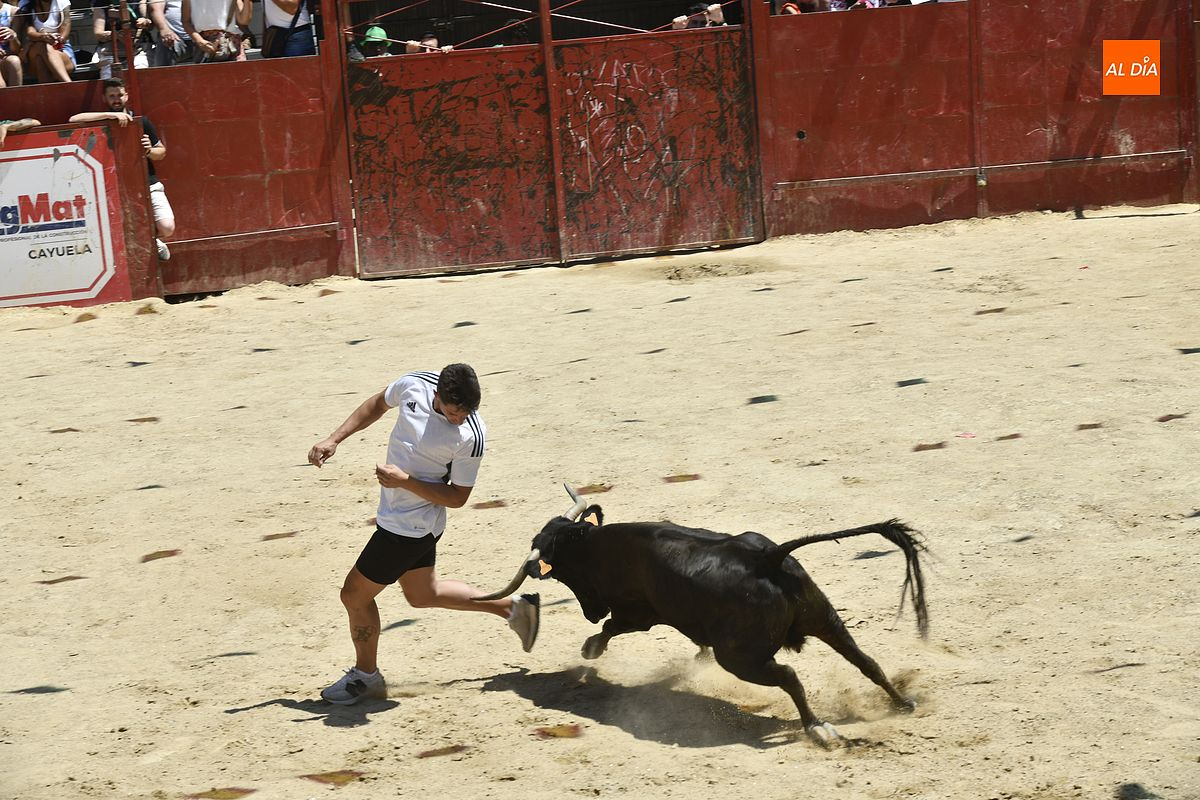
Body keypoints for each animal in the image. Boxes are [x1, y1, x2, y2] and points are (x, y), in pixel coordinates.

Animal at [475, 485, 929, 747]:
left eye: (560, 573)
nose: (588, 610)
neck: (594, 546)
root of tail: (767, 557)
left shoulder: (640, 613)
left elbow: (612, 627)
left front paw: (590, 648)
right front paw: (696, 656)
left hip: (743, 657)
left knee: (789, 677)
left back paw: (819, 729)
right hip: (824, 618)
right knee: (864, 660)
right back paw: (903, 703)